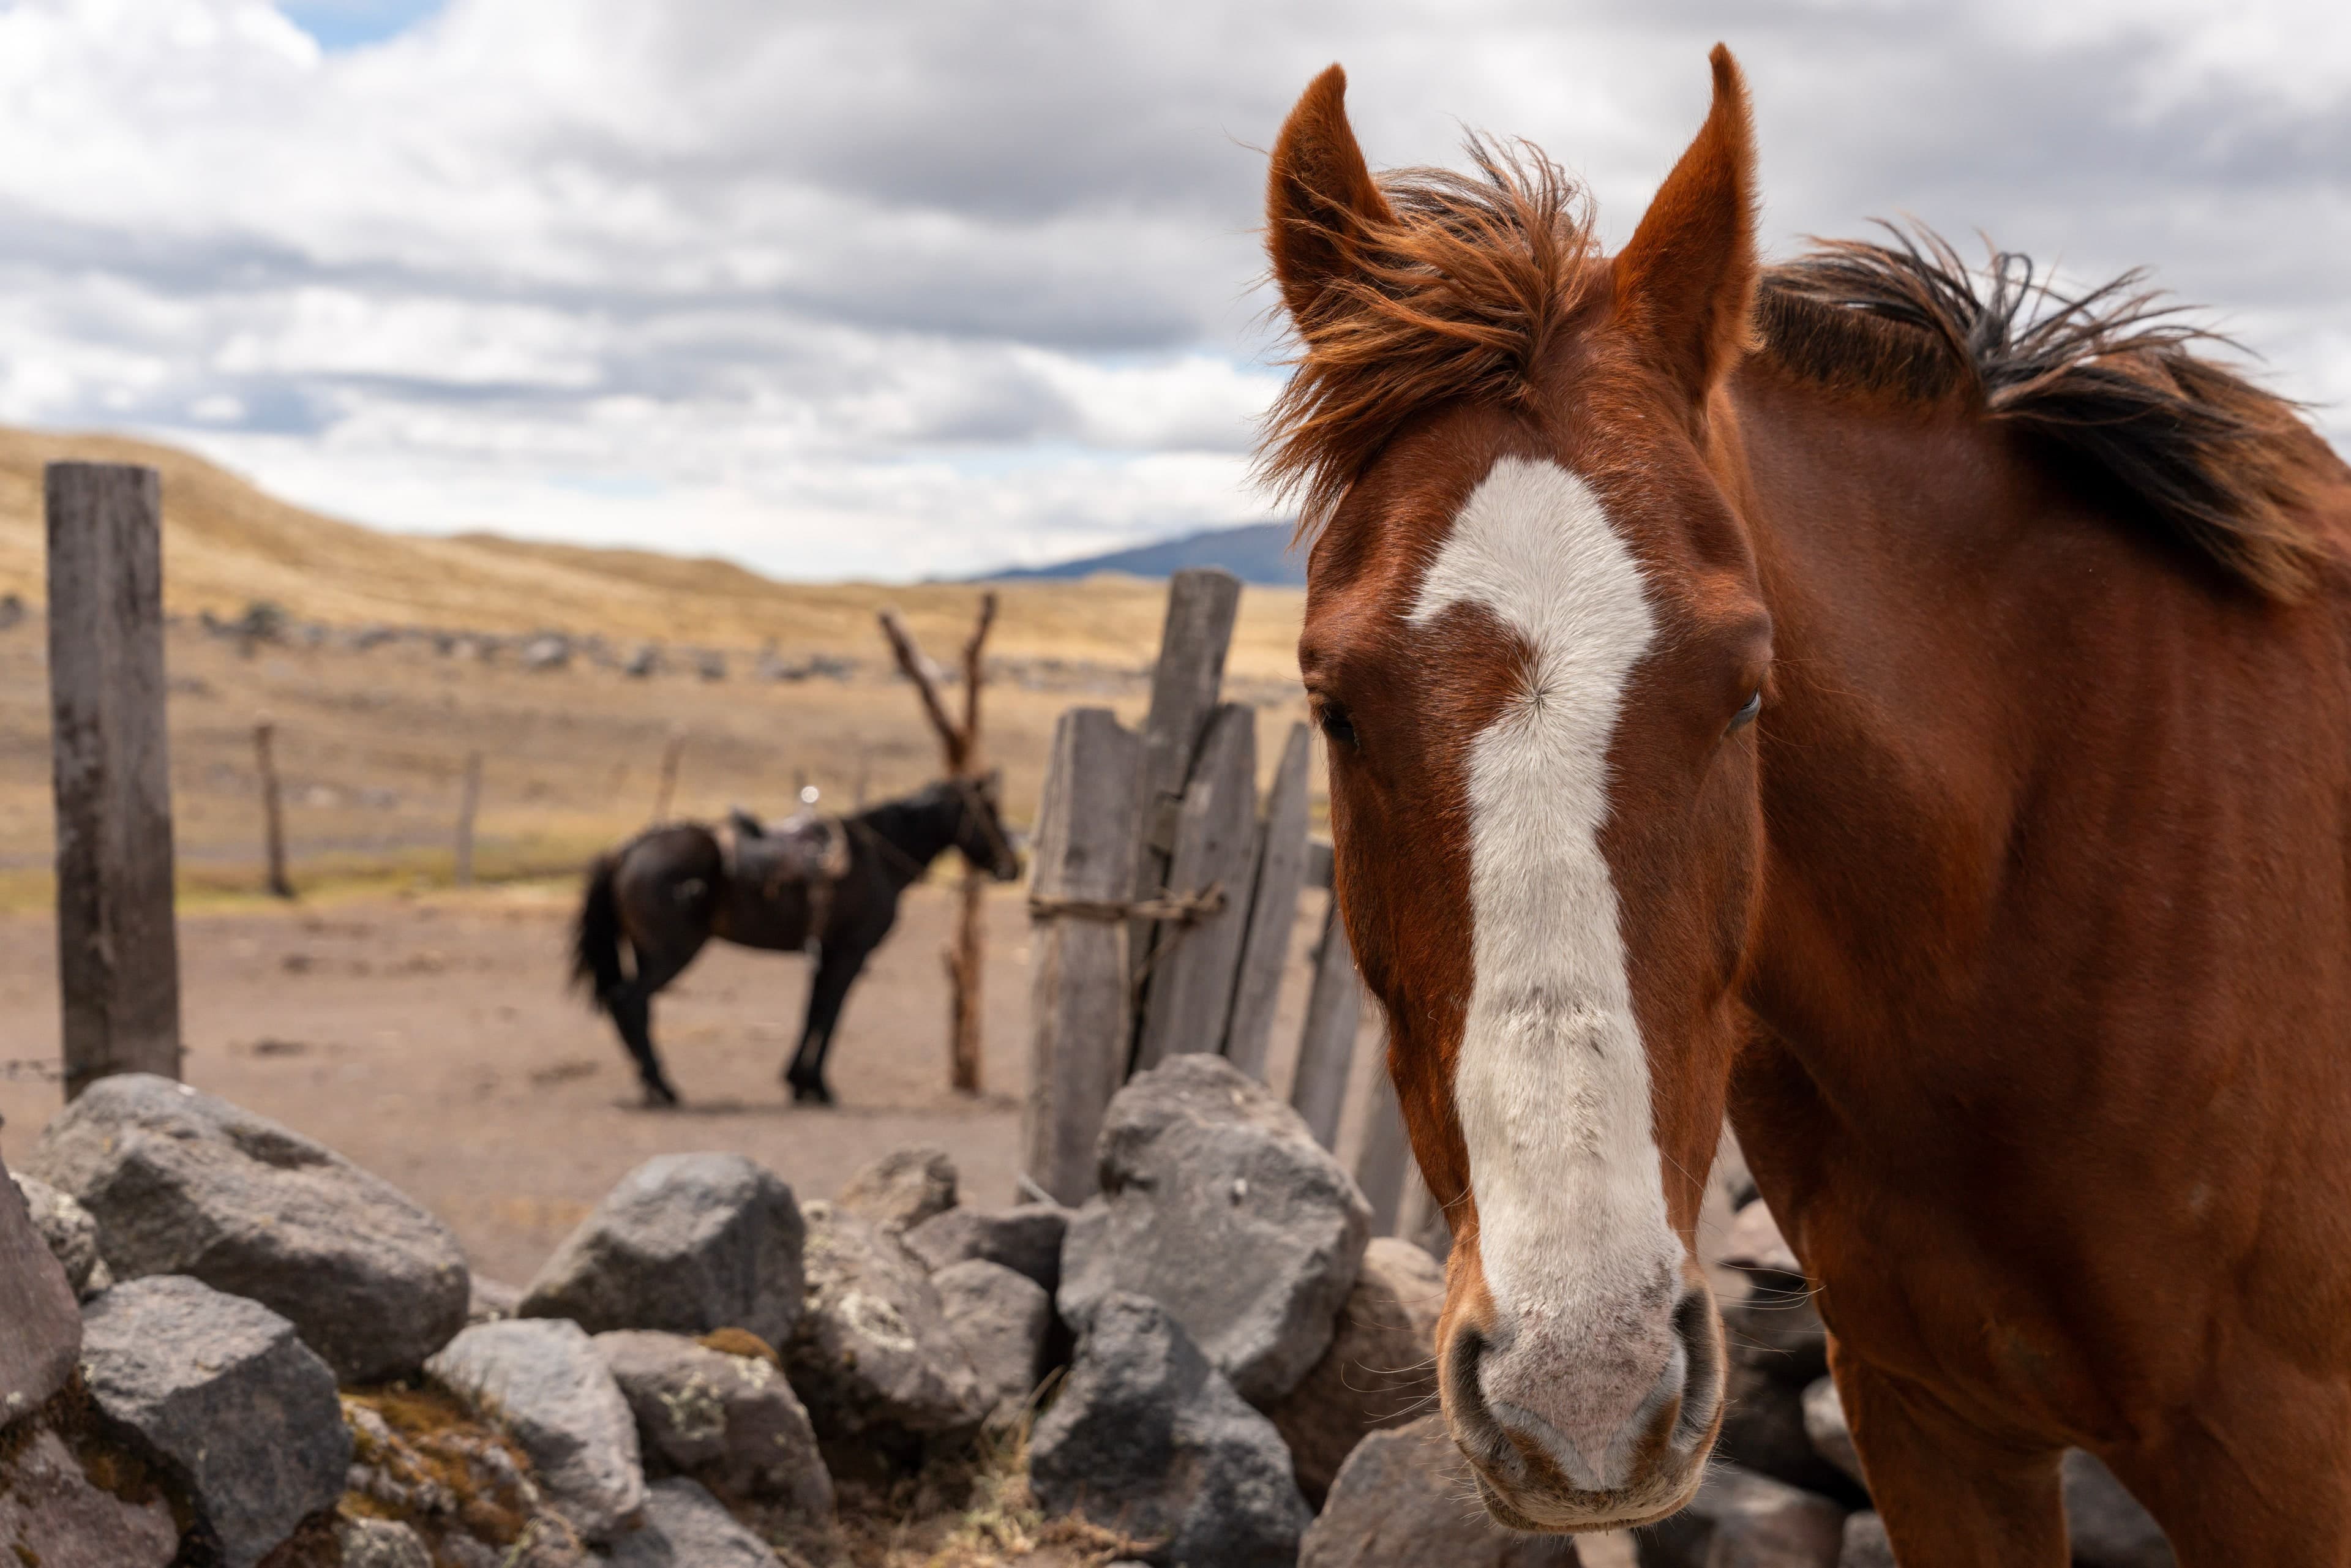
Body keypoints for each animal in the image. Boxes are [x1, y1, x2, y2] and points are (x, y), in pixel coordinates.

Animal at [570, 774, 1022, 1107]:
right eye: (990, 812)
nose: (1012, 867)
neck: (879, 857)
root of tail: (626, 850)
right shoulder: (850, 953)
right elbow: (830, 1015)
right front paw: (818, 1086)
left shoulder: (825, 953)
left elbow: (813, 1012)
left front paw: (798, 1082)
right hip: (673, 953)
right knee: (629, 1001)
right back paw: (661, 1085)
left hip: (647, 952)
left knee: (631, 1005)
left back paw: (652, 1085)